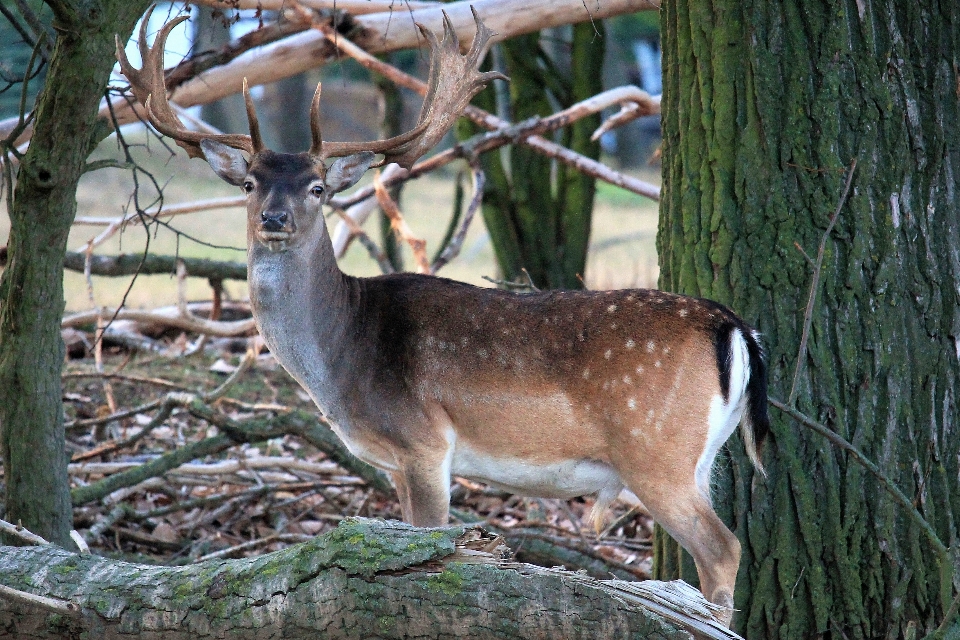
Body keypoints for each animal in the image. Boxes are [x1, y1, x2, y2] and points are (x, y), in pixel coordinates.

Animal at [120, 7, 768, 624]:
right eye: (250, 183)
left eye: (317, 188)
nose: (273, 219)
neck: (343, 356)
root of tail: (732, 326)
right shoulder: (394, 462)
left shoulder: (424, 440)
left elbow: (430, 544)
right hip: (699, 456)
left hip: (654, 447)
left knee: (723, 548)